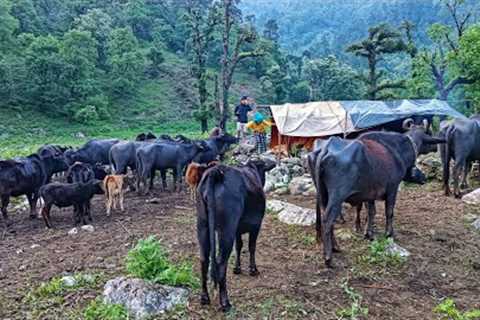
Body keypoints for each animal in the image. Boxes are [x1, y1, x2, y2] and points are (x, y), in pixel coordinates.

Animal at [195, 159, 276, 312]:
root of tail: (216, 172)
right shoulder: (256, 225)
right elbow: (251, 247)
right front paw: (253, 269)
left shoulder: (238, 229)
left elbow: (239, 246)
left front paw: (237, 268)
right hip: (227, 229)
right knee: (221, 262)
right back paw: (225, 302)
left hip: (203, 225)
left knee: (204, 259)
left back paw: (204, 297)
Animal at [310, 127, 444, 268]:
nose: (424, 178)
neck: (396, 150)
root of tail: (326, 148)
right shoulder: (392, 188)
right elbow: (389, 212)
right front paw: (389, 233)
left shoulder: (370, 194)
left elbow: (371, 212)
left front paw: (369, 233)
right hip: (337, 197)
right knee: (328, 220)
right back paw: (329, 257)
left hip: (322, 194)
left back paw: (335, 247)